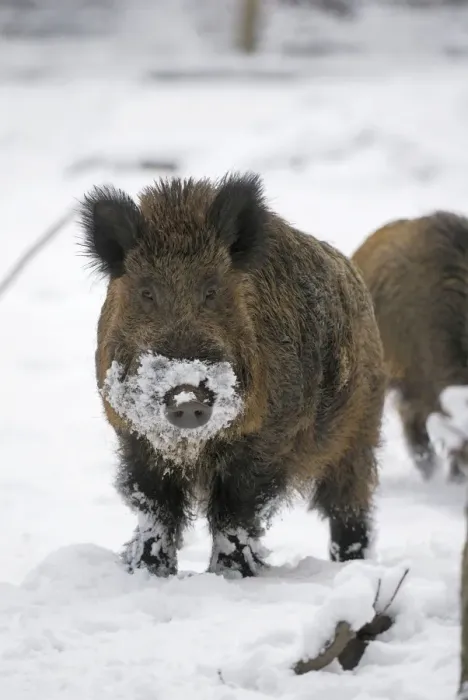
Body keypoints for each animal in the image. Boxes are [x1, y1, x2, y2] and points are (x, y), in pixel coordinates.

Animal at [78, 172, 385, 578]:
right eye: (146, 292)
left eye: (211, 290)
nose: (186, 395)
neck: (192, 446)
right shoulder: (133, 436)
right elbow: (154, 505)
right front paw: (147, 570)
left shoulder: (268, 437)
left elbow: (234, 510)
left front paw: (231, 574)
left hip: (360, 432)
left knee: (348, 505)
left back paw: (351, 565)